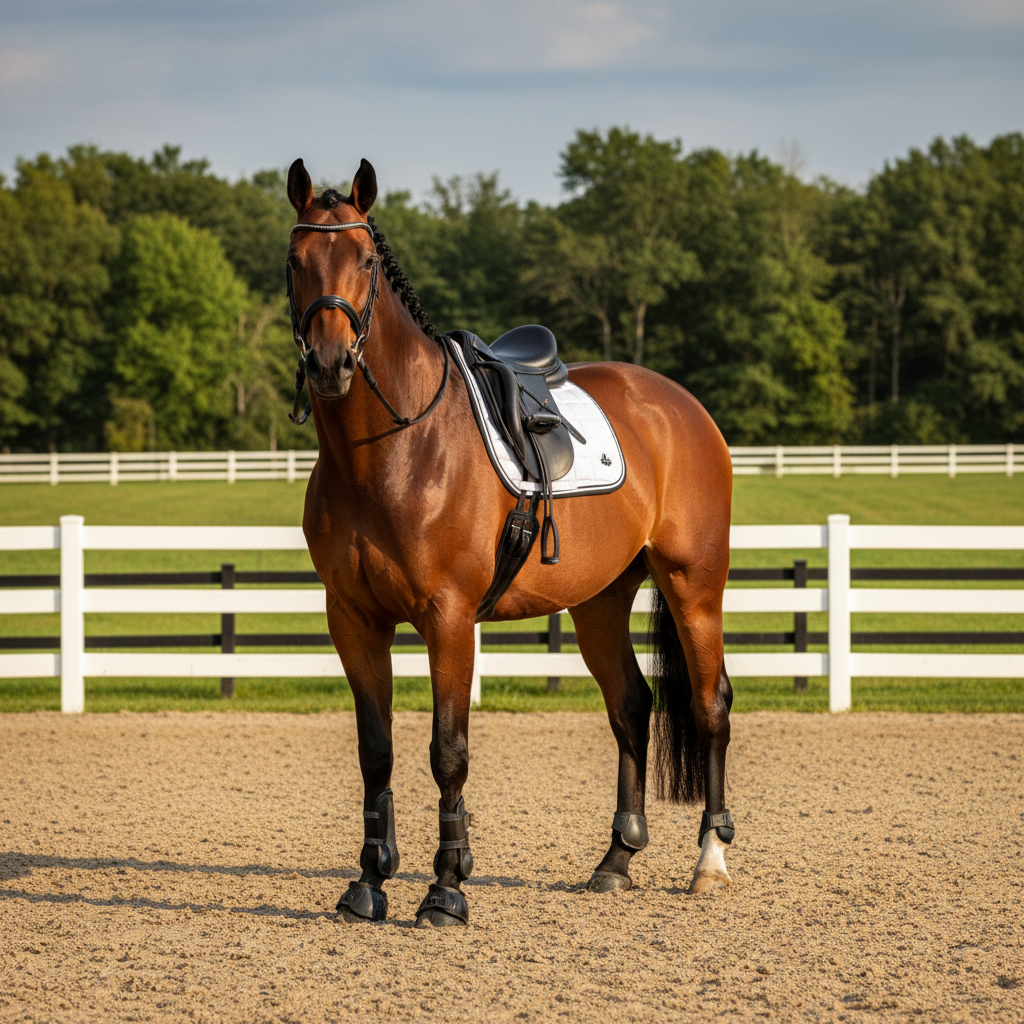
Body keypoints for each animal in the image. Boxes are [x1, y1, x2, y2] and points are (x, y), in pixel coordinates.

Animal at [286, 157, 735, 926]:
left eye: (366, 260)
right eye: (295, 261)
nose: (330, 362)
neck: (392, 451)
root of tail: (680, 405)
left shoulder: (448, 618)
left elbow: (448, 750)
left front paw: (446, 889)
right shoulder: (352, 618)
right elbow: (376, 750)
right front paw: (370, 883)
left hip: (692, 584)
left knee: (710, 706)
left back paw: (710, 858)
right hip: (599, 599)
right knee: (632, 706)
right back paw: (616, 859)